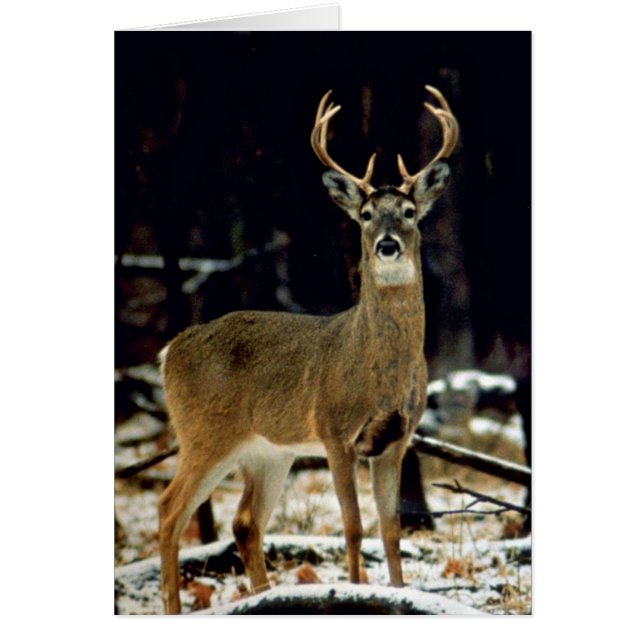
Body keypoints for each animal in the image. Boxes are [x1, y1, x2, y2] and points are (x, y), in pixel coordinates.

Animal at [157, 85, 458, 614]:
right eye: (364, 215)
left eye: (408, 213)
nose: (386, 245)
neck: (378, 373)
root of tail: (169, 351)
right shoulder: (335, 430)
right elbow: (353, 527)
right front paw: (355, 590)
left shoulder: (396, 440)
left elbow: (391, 529)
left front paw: (398, 592)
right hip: (203, 432)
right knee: (170, 510)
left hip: (267, 451)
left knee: (244, 523)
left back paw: (262, 596)